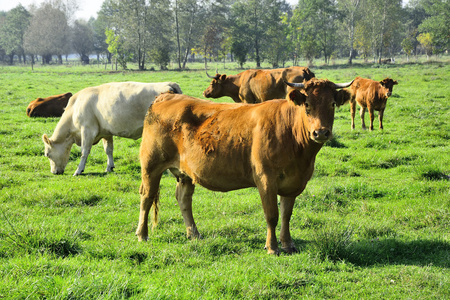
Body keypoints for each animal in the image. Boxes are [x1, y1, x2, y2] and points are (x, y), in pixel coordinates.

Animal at [42, 81, 183, 176]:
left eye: (47, 154)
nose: (53, 172)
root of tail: (169, 84)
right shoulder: (106, 132)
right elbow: (108, 150)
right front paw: (109, 167)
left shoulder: (87, 130)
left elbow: (84, 152)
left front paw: (79, 170)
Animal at [135, 78, 354, 255]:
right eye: (307, 105)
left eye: (332, 104)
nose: (321, 132)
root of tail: (165, 96)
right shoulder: (266, 179)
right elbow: (272, 215)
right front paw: (272, 247)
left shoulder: (293, 182)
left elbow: (286, 215)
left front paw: (288, 244)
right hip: (151, 165)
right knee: (147, 197)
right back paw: (142, 235)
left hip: (186, 173)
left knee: (183, 199)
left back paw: (194, 234)